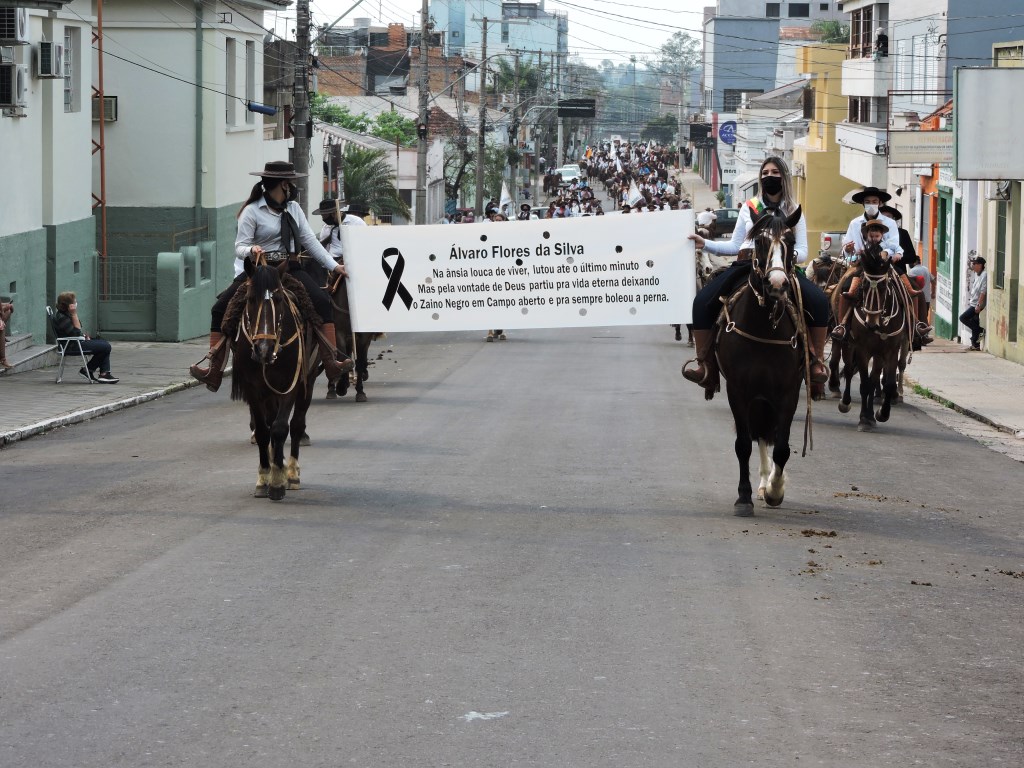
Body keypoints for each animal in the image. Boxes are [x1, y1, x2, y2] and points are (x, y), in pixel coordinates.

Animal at [229, 264, 315, 501]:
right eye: (250, 299)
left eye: (278, 299)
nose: (263, 349)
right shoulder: (253, 390)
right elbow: (262, 431)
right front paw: (264, 477)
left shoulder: (290, 386)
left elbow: (279, 428)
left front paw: (277, 482)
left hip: (307, 383)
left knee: (296, 425)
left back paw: (291, 473)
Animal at [712, 204, 806, 518]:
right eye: (761, 242)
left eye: (790, 241)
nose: (776, 283)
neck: (764, 326)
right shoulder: (738, 390)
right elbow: (744, 444)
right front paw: (744, 497)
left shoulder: (789, 391)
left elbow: (782, 446)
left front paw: (776, 490)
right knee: (760, 434)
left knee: (769, 435)